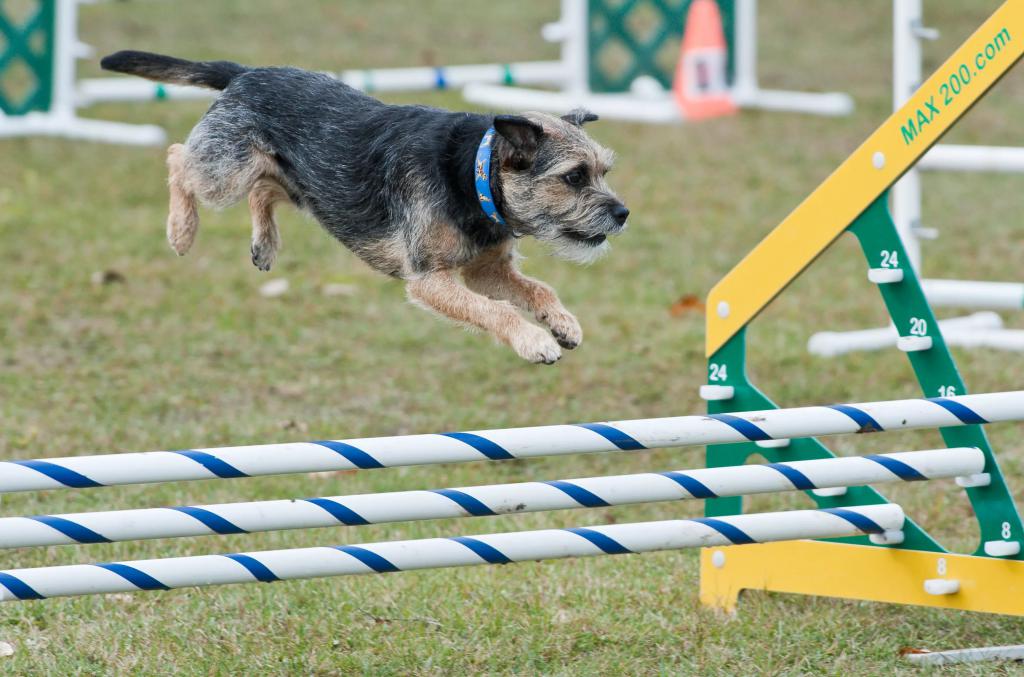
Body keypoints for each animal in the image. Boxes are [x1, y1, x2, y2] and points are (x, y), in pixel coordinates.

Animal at [101, 49, 622, 364]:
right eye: (574, 176)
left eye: (604, 171)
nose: (623, 214)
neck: (472, 175)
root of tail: (245, 73)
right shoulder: (429, 280)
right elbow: (496, 311)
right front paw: (535, 340)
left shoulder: (485, 271)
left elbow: (538, 289)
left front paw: (563, 323)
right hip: (223, 173)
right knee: (177, 158)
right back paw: (181, 230)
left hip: (298, 183)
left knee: (263, 190)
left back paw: (264, 244)